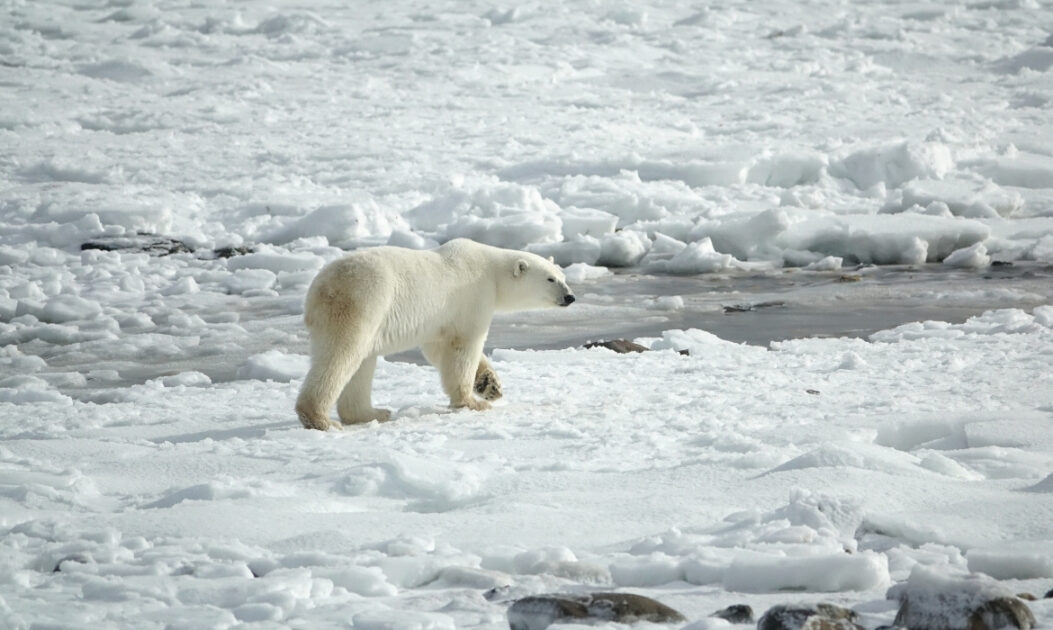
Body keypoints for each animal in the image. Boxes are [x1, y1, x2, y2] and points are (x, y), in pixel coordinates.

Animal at [295, 238, 576, 430]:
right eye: (550, 279)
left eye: (563, 276)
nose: (570, 297)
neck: (491, 270)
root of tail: (318, 289)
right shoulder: (472, 297)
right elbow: (464, 347)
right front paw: (473, 402)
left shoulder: (439, 319)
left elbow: (438, 348)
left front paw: (490, 385)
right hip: (362, 302)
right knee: (342, 355)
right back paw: (321, 419)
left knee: (362, 363)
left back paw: (373, 413)